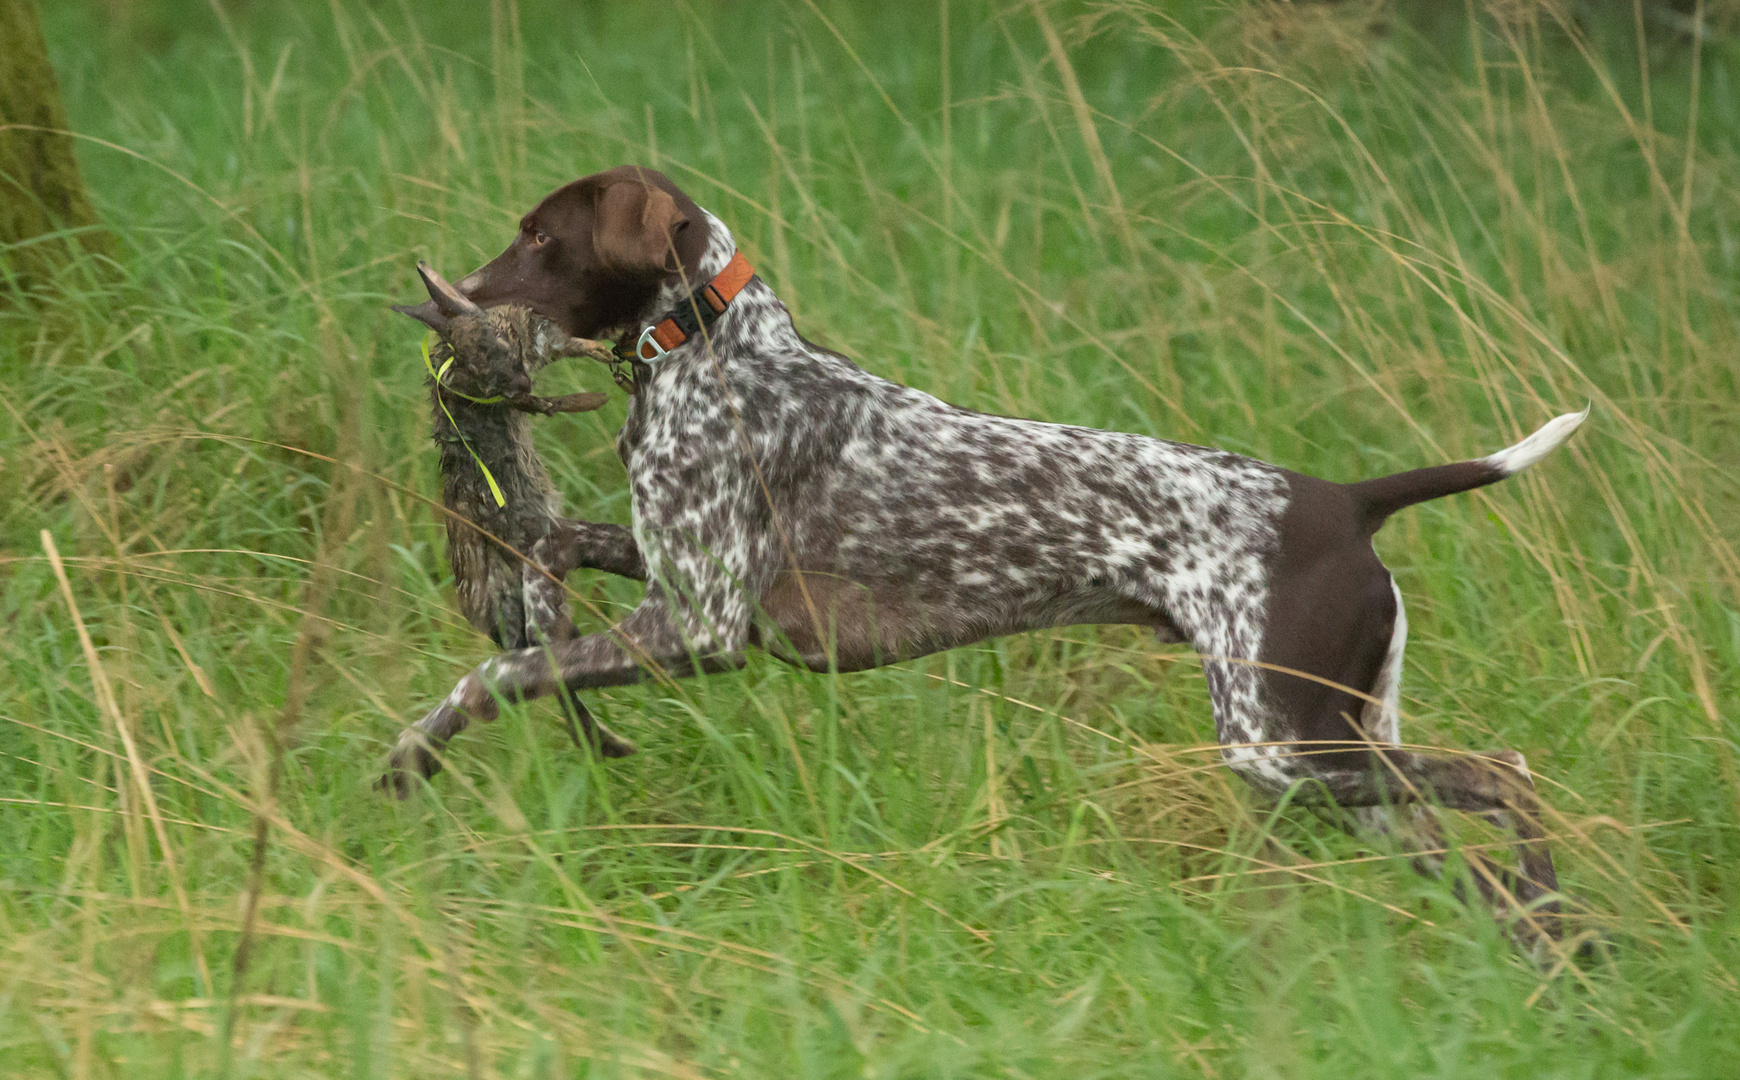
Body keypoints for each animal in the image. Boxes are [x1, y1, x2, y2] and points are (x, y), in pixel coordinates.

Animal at [391, 164, 1593, 939]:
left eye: (539, 237)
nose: (450, 302)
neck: (717, 354)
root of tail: (1347, 502)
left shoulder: (702, 626)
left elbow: (494, 674)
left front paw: (414, 754)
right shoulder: (686, 584)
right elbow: (562, 556)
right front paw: (530, 583)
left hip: (1283, 747)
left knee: (1508, 774)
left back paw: (1549, 905)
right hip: (1343, 760)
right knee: (1469, 850)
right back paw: (1546, 944)